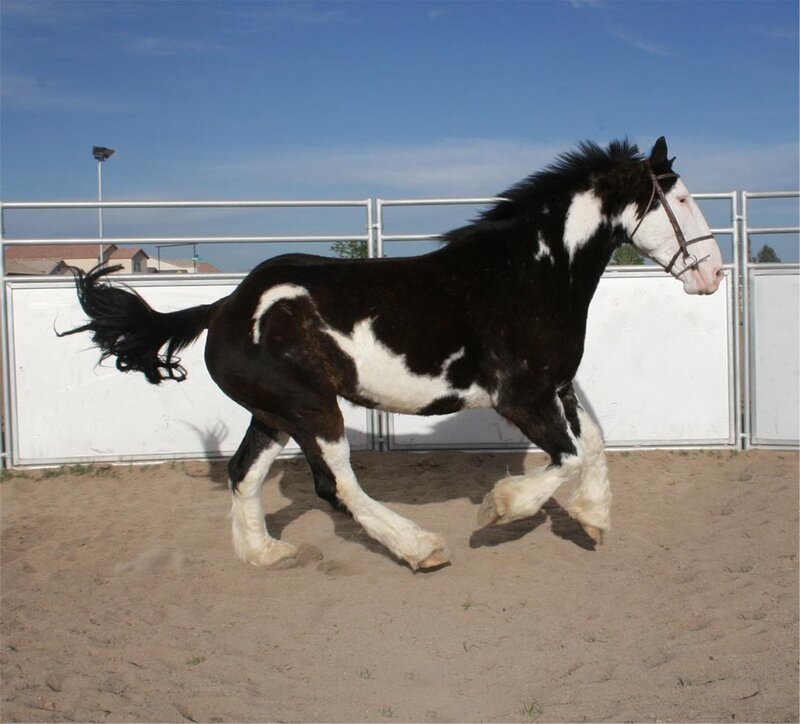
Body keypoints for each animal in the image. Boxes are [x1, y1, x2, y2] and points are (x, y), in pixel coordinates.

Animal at [62, 137, 723, 571]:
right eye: (681, 201)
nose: (713, 274)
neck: (529, 273)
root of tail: (225, 306)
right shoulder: (522, 398)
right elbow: (566, 457)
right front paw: (500, 510)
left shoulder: (557, 386)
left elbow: (596, 446)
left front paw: (593, 519)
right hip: (312, 410)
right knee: (336, 485)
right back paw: (421, 547)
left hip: (273, 414)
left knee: (242, 473)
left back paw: (265, 552)